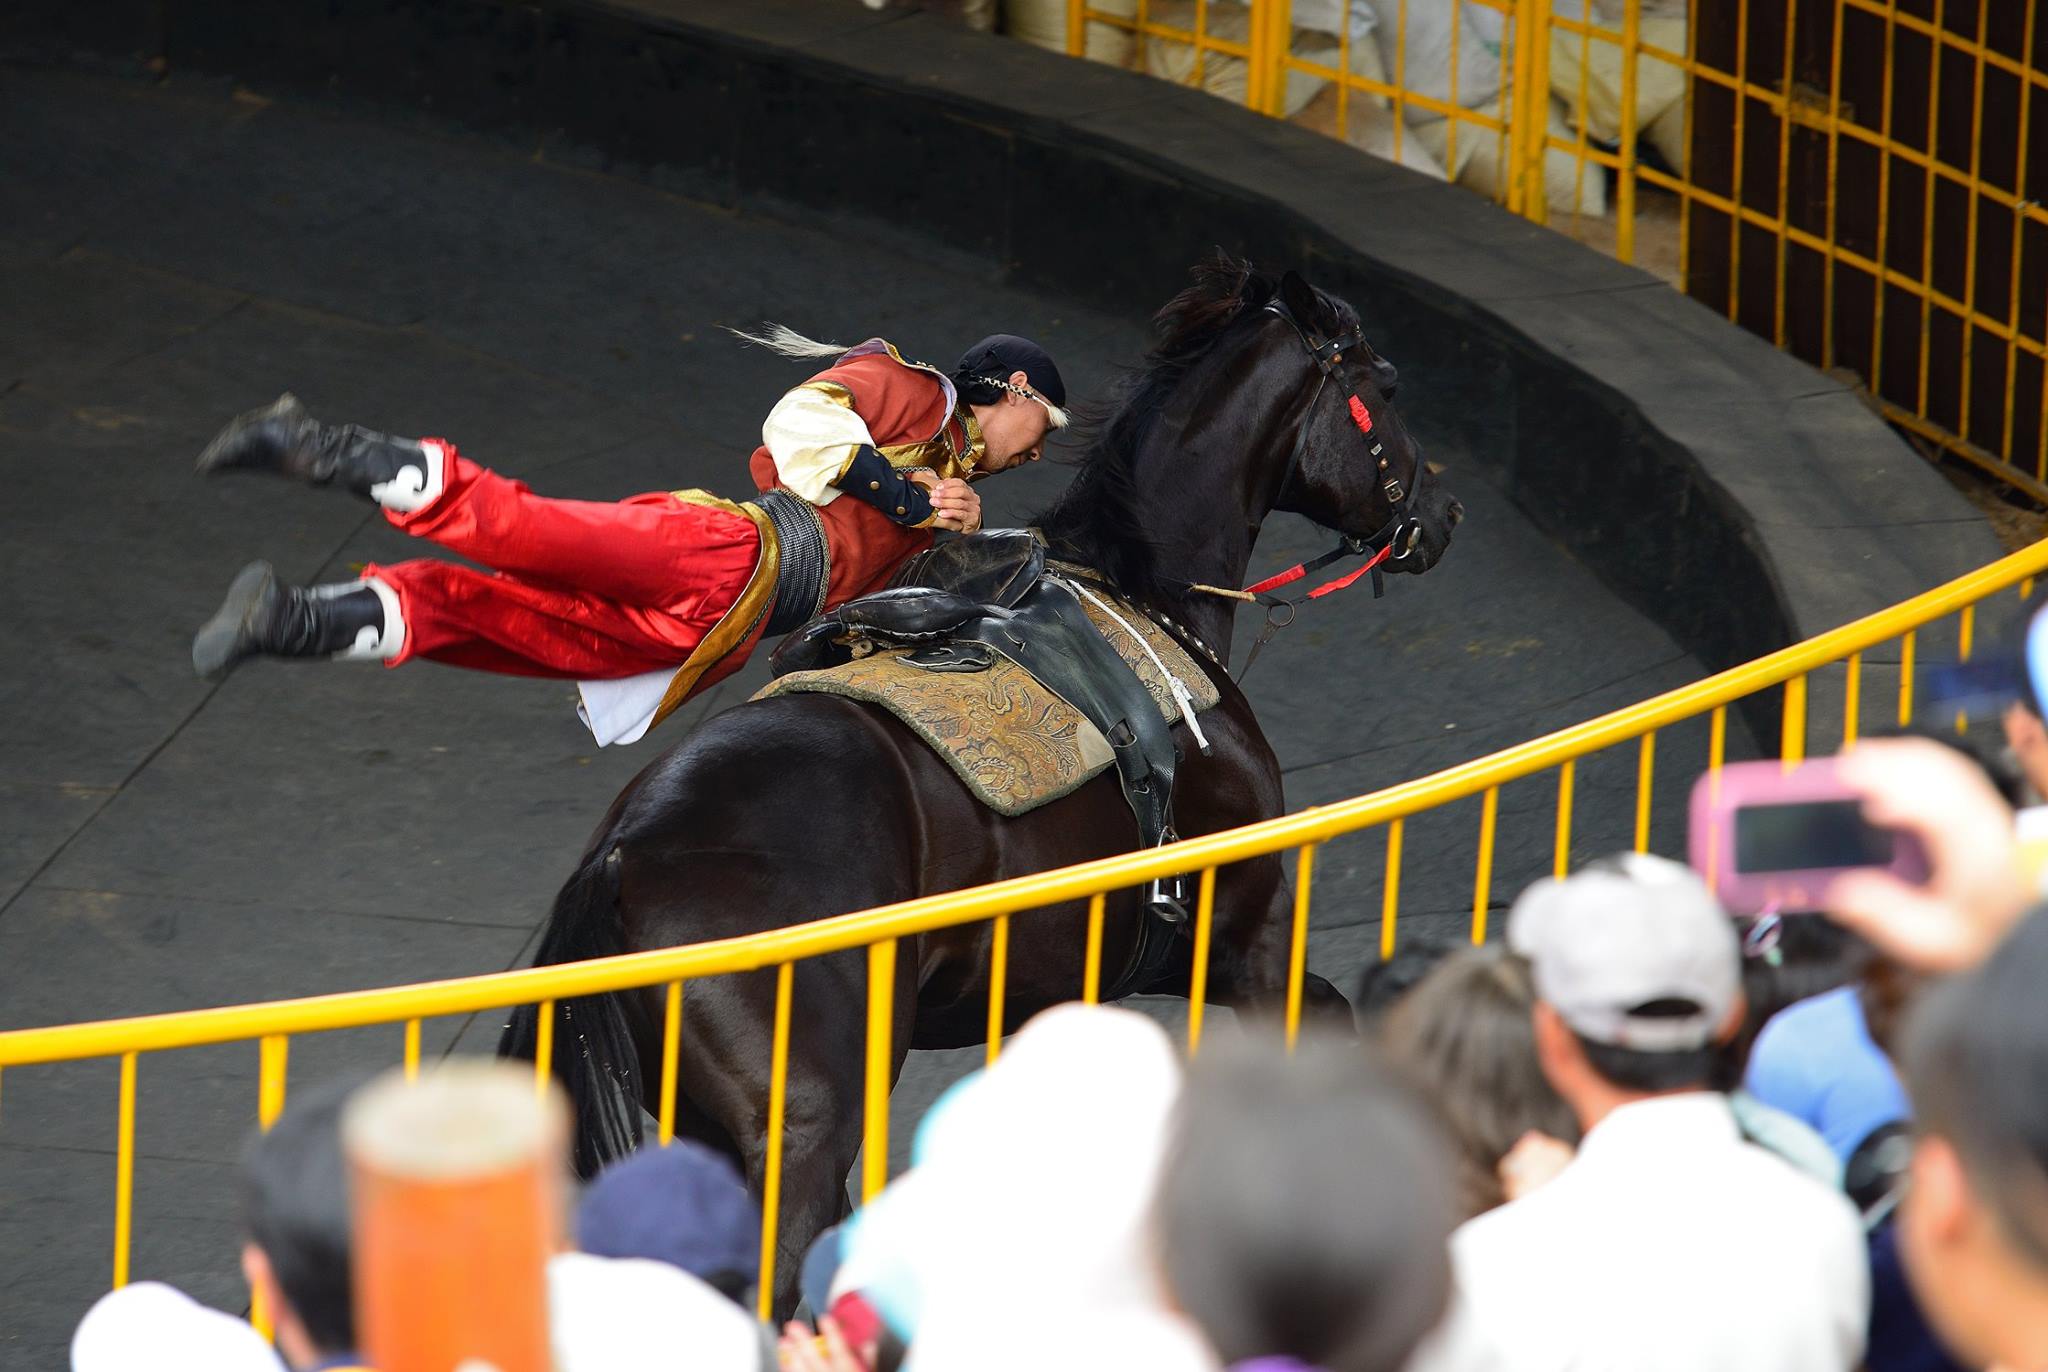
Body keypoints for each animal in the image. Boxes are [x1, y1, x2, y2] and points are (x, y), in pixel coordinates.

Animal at [501, 255, 1463, 1310]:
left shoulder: (1132, 961)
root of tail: (624, 856)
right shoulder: (1248, 928)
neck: (1142, 593)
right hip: (804, 1130)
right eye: (1383, 386)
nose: (1441, 516)